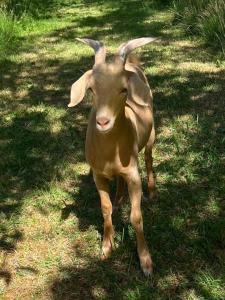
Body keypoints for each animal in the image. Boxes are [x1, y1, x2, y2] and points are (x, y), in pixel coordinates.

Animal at [69, 38, 157, 276]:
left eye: (123, 90)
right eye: (91, 89)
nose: (103, 122)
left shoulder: (133, 174)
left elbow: (136, 216)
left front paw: (146, 262)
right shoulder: (98, 175)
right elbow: (105, 209)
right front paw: (106, 248)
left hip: (151, 136)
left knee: (149, 159)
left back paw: (152, 191)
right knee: (118, 180)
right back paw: (118, 199)